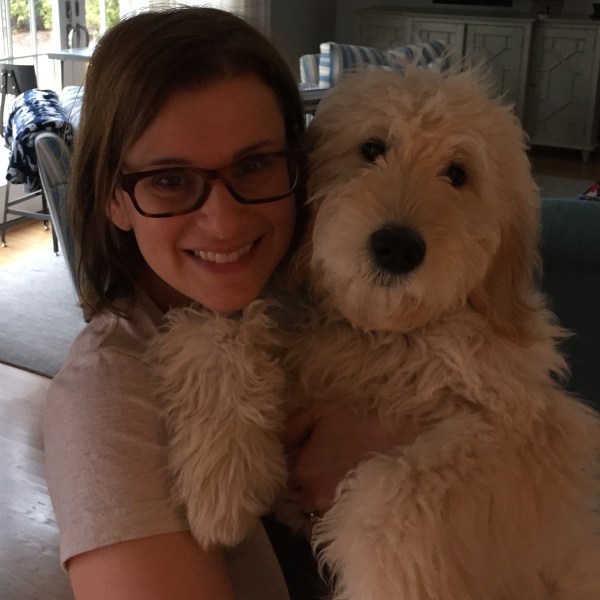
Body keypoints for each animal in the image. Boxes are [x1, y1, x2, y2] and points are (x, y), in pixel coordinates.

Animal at [151, 66, 600, 599]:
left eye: (457, 174)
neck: (382, 338)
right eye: (371, 148)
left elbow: (400, 488)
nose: (397, 248)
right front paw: (219, 484)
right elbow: (217, 333)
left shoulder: (526, 433)